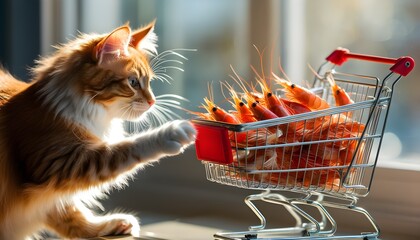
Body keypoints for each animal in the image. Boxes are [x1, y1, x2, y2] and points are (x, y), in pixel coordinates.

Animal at [0, 21, 196, 239]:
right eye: (133, 82)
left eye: (149, 82)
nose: (152, 101)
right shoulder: (59, 160)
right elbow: (124, 149)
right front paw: (171, 132)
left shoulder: (50, 194)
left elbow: (70, 214)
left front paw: (105, 226)